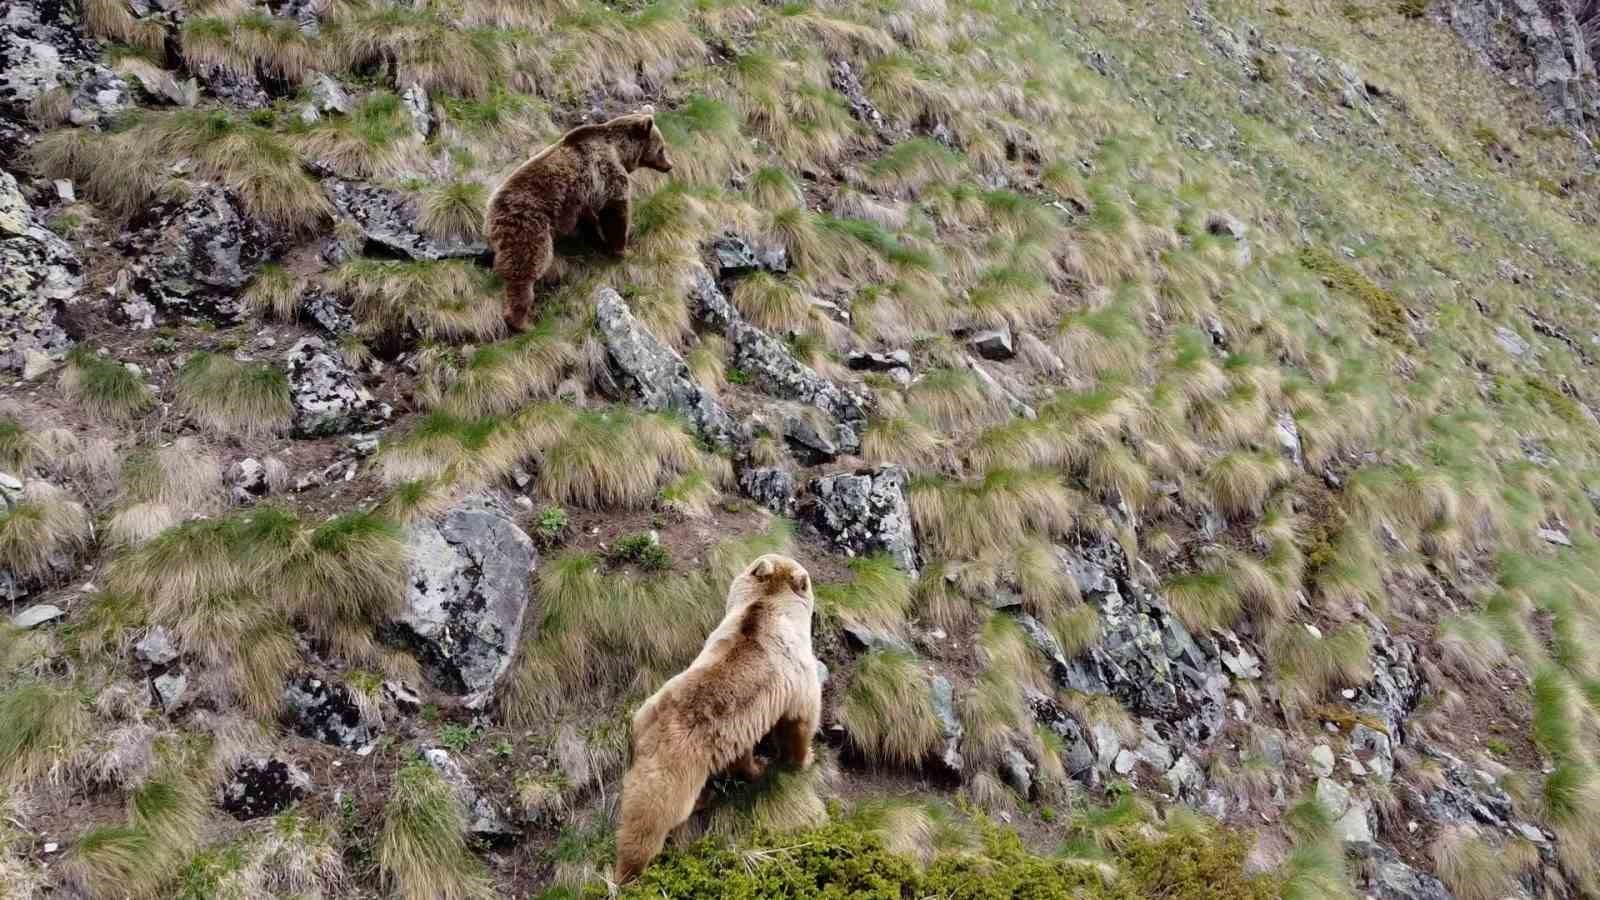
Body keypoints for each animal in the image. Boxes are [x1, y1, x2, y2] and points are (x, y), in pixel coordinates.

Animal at [480, 110, 668, 331]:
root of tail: (490, 214)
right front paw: (624, 249)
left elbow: (590, 221)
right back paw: (523, 322)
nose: (669, 166)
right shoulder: (607, 175)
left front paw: (599, 242)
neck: (619, 151)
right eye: (661, 148)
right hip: (528, 227)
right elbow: (615, 212)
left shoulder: (582, 199)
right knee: (527, 267)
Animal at [614, 550, 825, 877]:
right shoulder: (797, 672)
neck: (770, 607)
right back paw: (632, 868)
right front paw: (806, 757)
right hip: (675, 771)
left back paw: (751, 769)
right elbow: (802, 718)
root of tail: (648, 733)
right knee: (651, 817)